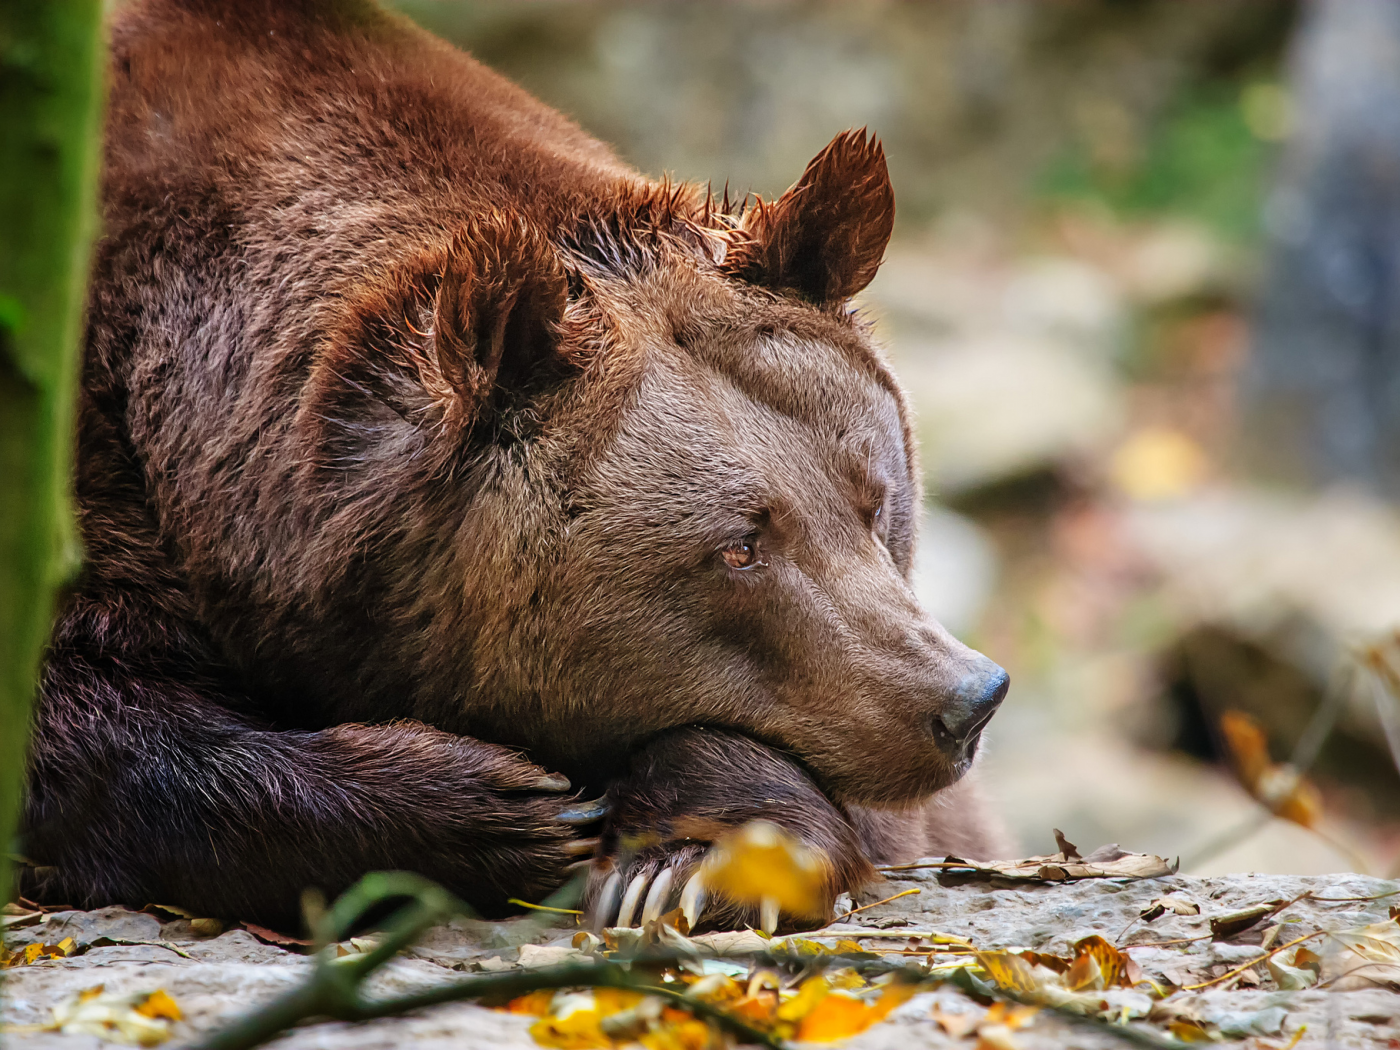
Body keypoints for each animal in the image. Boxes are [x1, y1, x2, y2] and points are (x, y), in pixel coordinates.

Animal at [21, 0, 1008, 935]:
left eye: (875, 500)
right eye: (738, 548)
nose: (965, 699)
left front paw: (686, 862)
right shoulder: (85, 458)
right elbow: (86, 720)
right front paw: (504, 806)